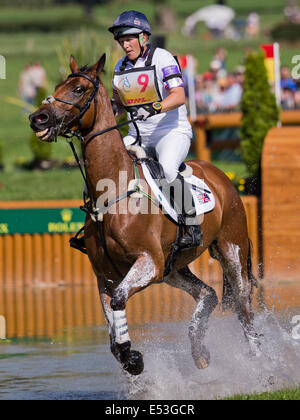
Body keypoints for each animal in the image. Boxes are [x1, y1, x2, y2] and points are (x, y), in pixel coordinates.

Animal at [29, 55, 262, 378]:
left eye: (77, 89)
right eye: (56, 87)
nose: (38, 118)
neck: (113, 192)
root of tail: (222, 177)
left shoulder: (148, 262)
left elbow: (119, 303)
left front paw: (133, 356)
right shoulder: (107, 277)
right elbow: (113, 329)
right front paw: (129, 356)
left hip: (230, 250)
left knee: (243, 306)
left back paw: (259, 364)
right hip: (173, 268)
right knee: (208, 294)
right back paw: (200, 352)